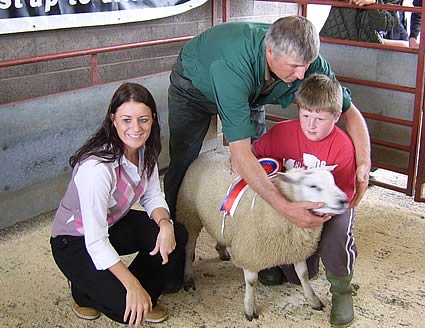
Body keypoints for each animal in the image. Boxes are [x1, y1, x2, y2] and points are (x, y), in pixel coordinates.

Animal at [176, 149, 348, 320]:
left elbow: (303, 274)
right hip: (190, 215)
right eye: (313, 186)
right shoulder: (250, 251)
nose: (343, 200)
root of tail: (208, 152)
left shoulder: (295, 247)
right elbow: (251, 282)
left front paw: (312, 299)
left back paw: (222, 251)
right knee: (189, 248)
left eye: (333, 182)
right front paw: (249, 308)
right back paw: (188, 277)